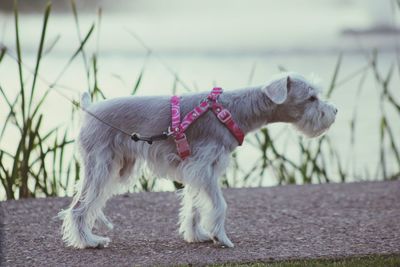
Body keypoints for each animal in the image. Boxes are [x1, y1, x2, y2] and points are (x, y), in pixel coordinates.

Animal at [57, 71, 336, 249]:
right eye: (311, 98)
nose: (335, 110)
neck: (233, 110)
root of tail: (89, 109)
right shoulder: (204, 168)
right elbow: (219, 204)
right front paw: (221, 238)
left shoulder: (199, 170)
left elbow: (195, 206)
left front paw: (197, 235)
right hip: (100, 168)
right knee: (79, 208)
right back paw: (88, 242)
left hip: (117, 168)